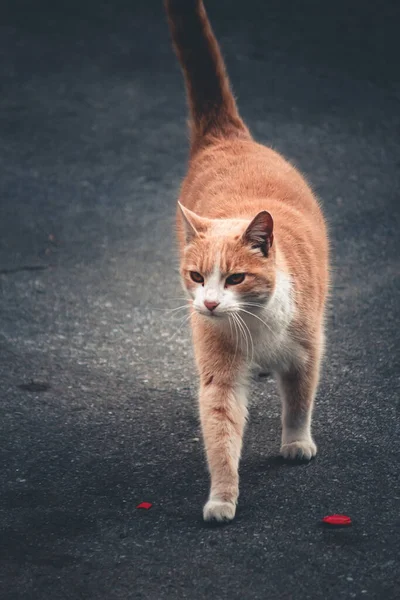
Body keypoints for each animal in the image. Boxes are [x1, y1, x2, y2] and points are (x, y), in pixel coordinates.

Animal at [164, 0, 330, 520]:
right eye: (197, 277)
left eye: (236, 277)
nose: (210, 305)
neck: (256, 325)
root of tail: (228, 137)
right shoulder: (219, 373)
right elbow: (221, 434)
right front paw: (222, 497)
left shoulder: (306, 348)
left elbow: (299, 401)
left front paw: (296, 444)